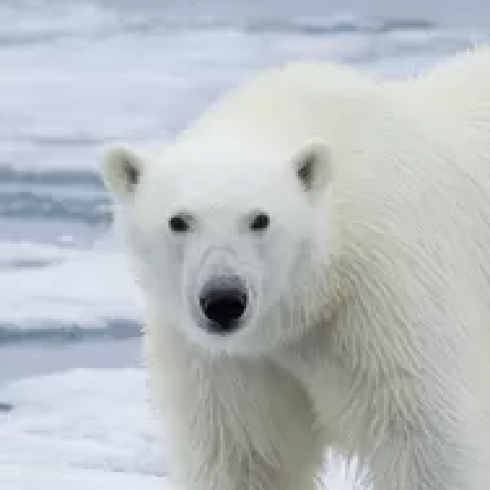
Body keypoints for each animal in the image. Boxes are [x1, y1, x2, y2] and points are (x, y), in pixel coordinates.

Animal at [100, 47, 490, 490]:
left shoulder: (390, 303)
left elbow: (426, 447)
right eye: (178, 220)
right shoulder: (229, 363)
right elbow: (243, 458)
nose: (223, 300)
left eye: (260, 219)